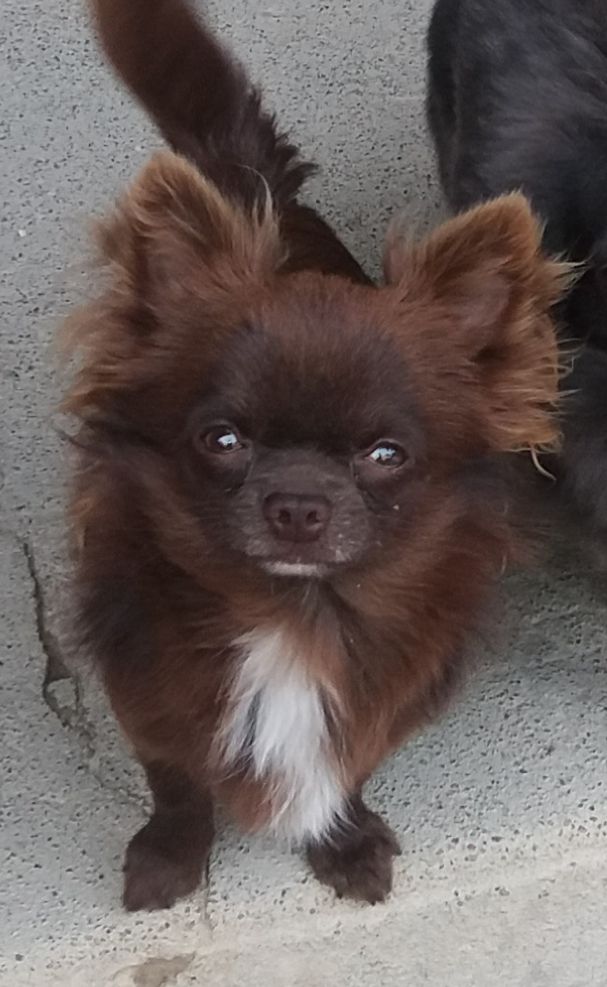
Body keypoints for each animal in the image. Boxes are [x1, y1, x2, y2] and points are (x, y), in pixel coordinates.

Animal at [62, 0, 568, 910]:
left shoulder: (373, 710)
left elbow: (345, 772)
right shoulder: (147, 696)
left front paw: (344, 841)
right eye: (221, 440)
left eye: (385, 453)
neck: (291, 617)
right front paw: (169, 856)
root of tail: (250, 184)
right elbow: (175, 780)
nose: (297, 501)